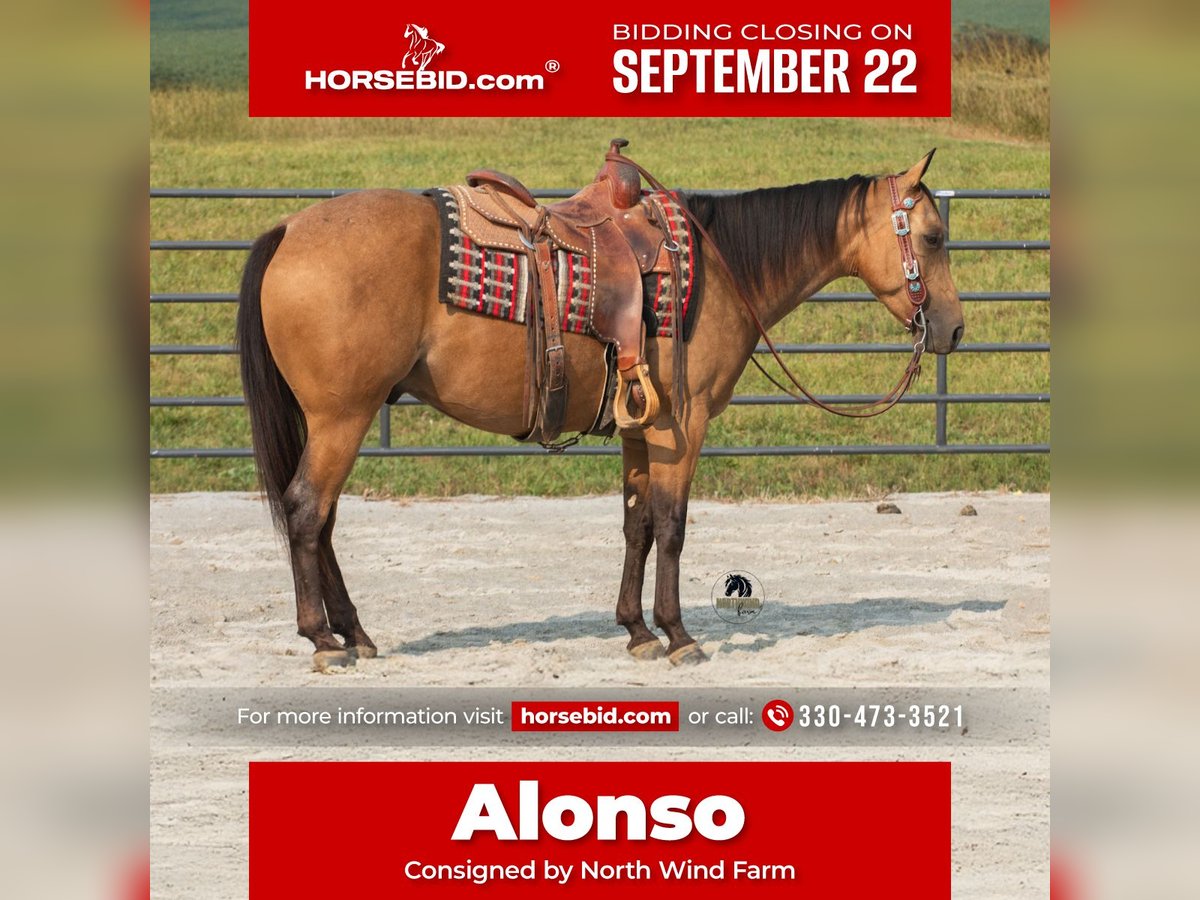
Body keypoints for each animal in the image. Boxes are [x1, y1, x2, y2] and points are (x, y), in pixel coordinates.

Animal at [235, 149, 964, 672]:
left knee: (323, 520)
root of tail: (288, 227)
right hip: (342, 417)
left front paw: (637, 630)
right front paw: (678, 635)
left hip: (334, 421)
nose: (953, 329)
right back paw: (324, 641)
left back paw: (353, 633)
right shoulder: (682, 425)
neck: (719, 271)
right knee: (307, 510)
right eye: (932, 236)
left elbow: (636, 523)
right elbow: (671, 524)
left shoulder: (642, 427)